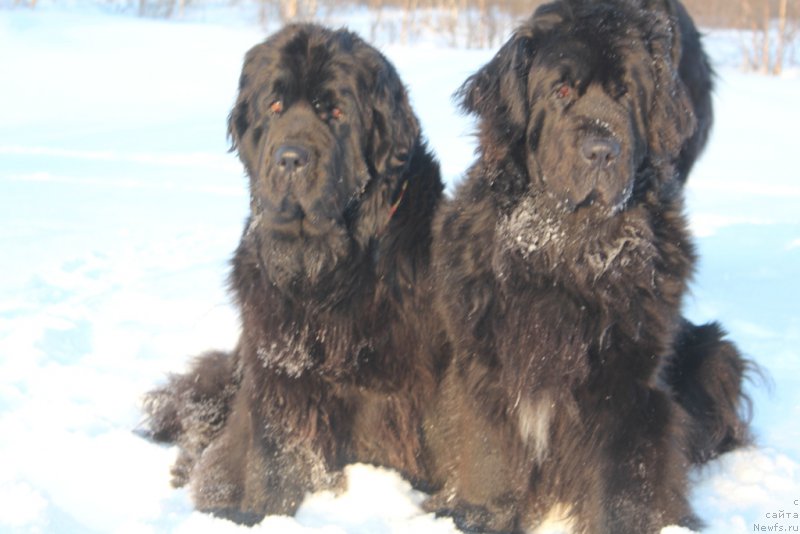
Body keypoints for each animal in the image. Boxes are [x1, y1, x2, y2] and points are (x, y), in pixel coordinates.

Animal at [141, 25, 446, 528]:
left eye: (336, 112)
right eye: (275, 106)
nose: (289, 158)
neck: (327, 275)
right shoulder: (278, 376)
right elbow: (276, 461)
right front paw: (261, 513)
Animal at [424, 0, 752, 532]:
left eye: (626, 95)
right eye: (560, 91)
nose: (601, 149)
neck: (566, 251)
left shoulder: (626, 380)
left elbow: (625, 473)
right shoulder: (485, 364)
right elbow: (489, 453)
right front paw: (480, 515)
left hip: (716, 351)